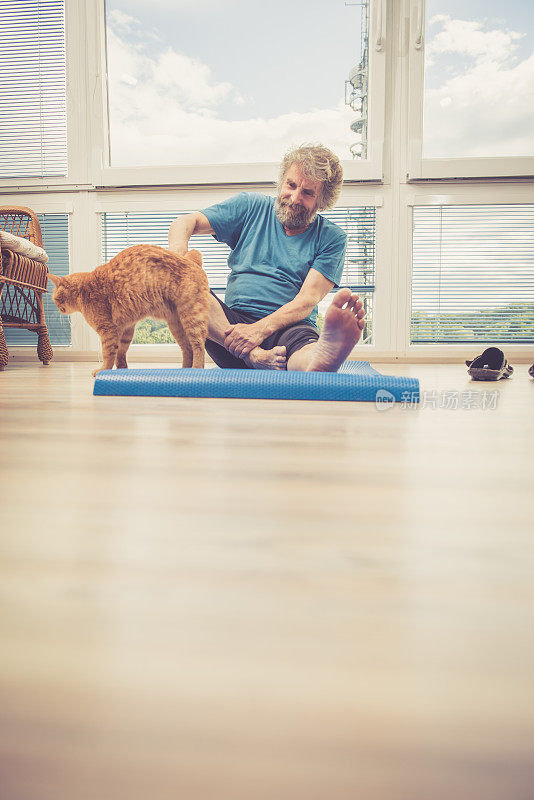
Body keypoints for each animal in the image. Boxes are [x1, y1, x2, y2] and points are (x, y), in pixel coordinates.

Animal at [49, 244, 210, 376]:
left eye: (55, 299)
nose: (57, 308)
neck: (84, 290)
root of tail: (190, 259)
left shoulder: (108, 331)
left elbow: (108, 354)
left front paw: (103, 370)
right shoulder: (126, 329)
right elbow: (120, 352)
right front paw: (122, 369)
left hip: (191, 317)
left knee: (198, 345)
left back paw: (196, 369)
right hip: (176, 325)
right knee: (187, 348)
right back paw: (185, 370)